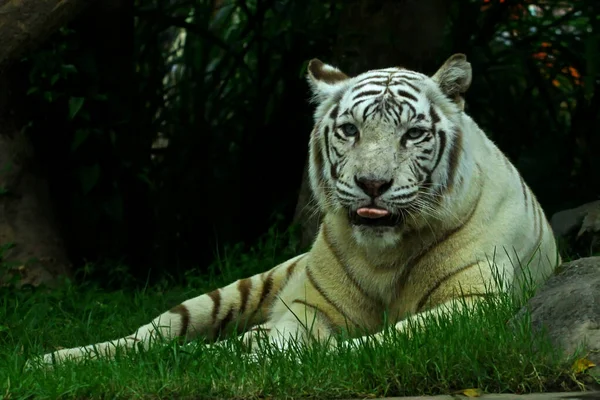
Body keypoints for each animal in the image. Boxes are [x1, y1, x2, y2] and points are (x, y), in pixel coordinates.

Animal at [31, 53, 556, 366]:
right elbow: (279, 337)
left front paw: (325, 356)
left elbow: (389, 340)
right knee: (151, 335)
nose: (373, 184)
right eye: (350, 130)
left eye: (413, 134)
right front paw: (251, 356)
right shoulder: (306, 304)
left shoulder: (473, 305)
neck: (385, 255)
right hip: (239, 288)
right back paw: (53, 360)